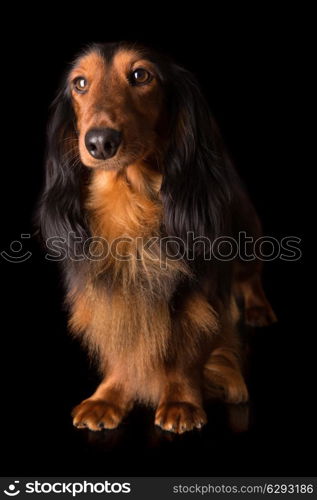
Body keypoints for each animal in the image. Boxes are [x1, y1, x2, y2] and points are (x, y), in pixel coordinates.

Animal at [37, 42, 276, 434]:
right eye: (80, 83)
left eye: (140, 75)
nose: (100, 142)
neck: (130, 203)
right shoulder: (111, 290)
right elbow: (121, 344)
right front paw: (109, 397)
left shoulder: (198, 294)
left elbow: (186, 350)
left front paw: (180, 400)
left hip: (247, 231)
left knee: (250, 276)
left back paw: (258, 309)